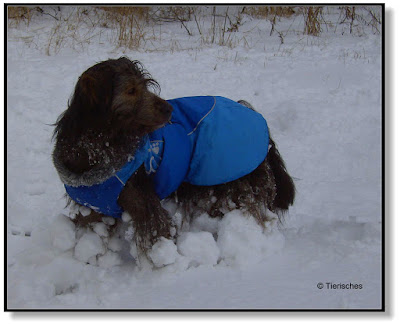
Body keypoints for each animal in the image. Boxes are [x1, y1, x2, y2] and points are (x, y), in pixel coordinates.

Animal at [53, 57, 296, 253]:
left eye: (145, 85)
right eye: (131, 90)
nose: (169, 109)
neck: (98, 145)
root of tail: (261, 122)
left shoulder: (142, 201)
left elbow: (157, 235)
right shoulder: (93, 206)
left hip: (236, 181)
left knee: (257, 214)